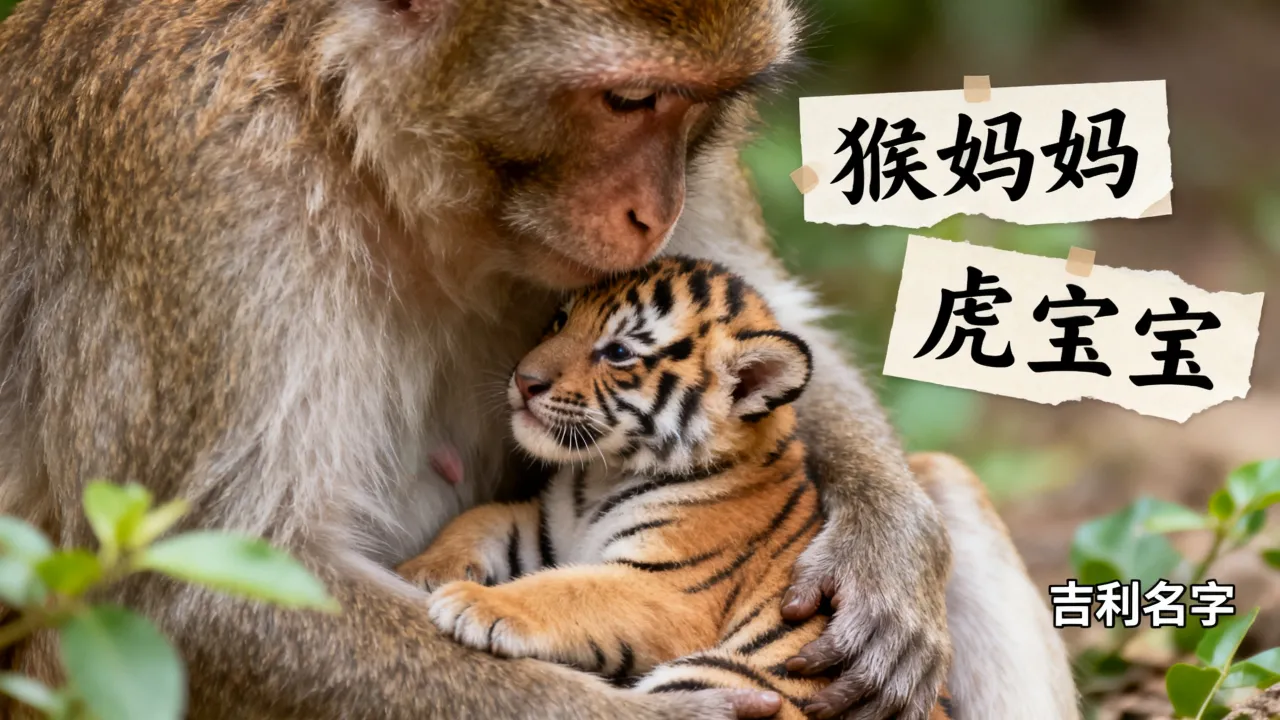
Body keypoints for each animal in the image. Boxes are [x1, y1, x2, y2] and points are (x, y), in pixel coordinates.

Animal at [397, 256, 952, 720]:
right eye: (560, 321)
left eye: (618, 352)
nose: (524, 380)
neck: (600, 476)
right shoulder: (544, 529)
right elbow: (479, 518)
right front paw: (423, 569)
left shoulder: (667, 586)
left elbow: (568, 590)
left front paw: (475, 603)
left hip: (726, 676)